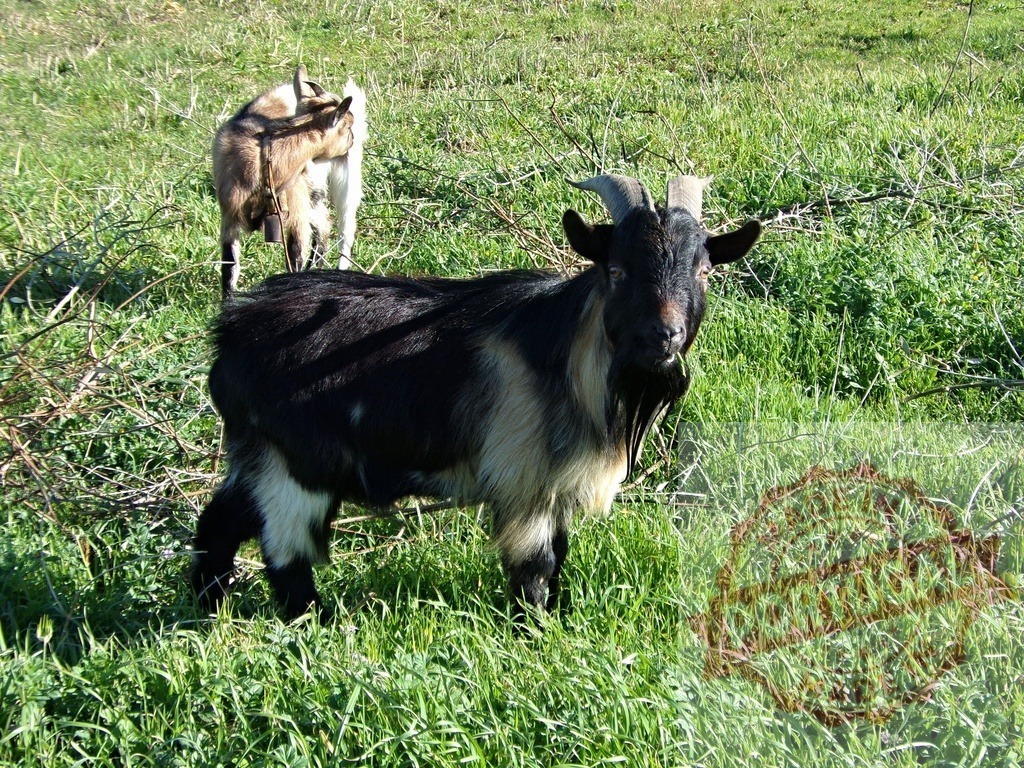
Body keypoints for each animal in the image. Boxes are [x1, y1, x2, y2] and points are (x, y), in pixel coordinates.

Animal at [191, 174, 761, 618]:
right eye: (617, 269)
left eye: (703, 269)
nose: (664, 336)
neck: (568, 359)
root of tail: (229, 333)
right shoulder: (523, 482)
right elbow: (536, 572)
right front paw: (537, 637)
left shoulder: (555, 487)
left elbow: (559, 560)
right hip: (298, 469)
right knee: (285, 553)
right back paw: (316, 624)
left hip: (259, 458)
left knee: (219, 521)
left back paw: (207, 611)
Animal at [212, 66, 366, 299]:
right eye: (348, 126)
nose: (353, 140)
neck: (263, 162)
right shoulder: (229, 219)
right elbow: (229, 271)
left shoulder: (297, 217)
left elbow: (294, 259)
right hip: (314, 195)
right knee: (324, 227)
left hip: (342, 185)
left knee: (342, 230)